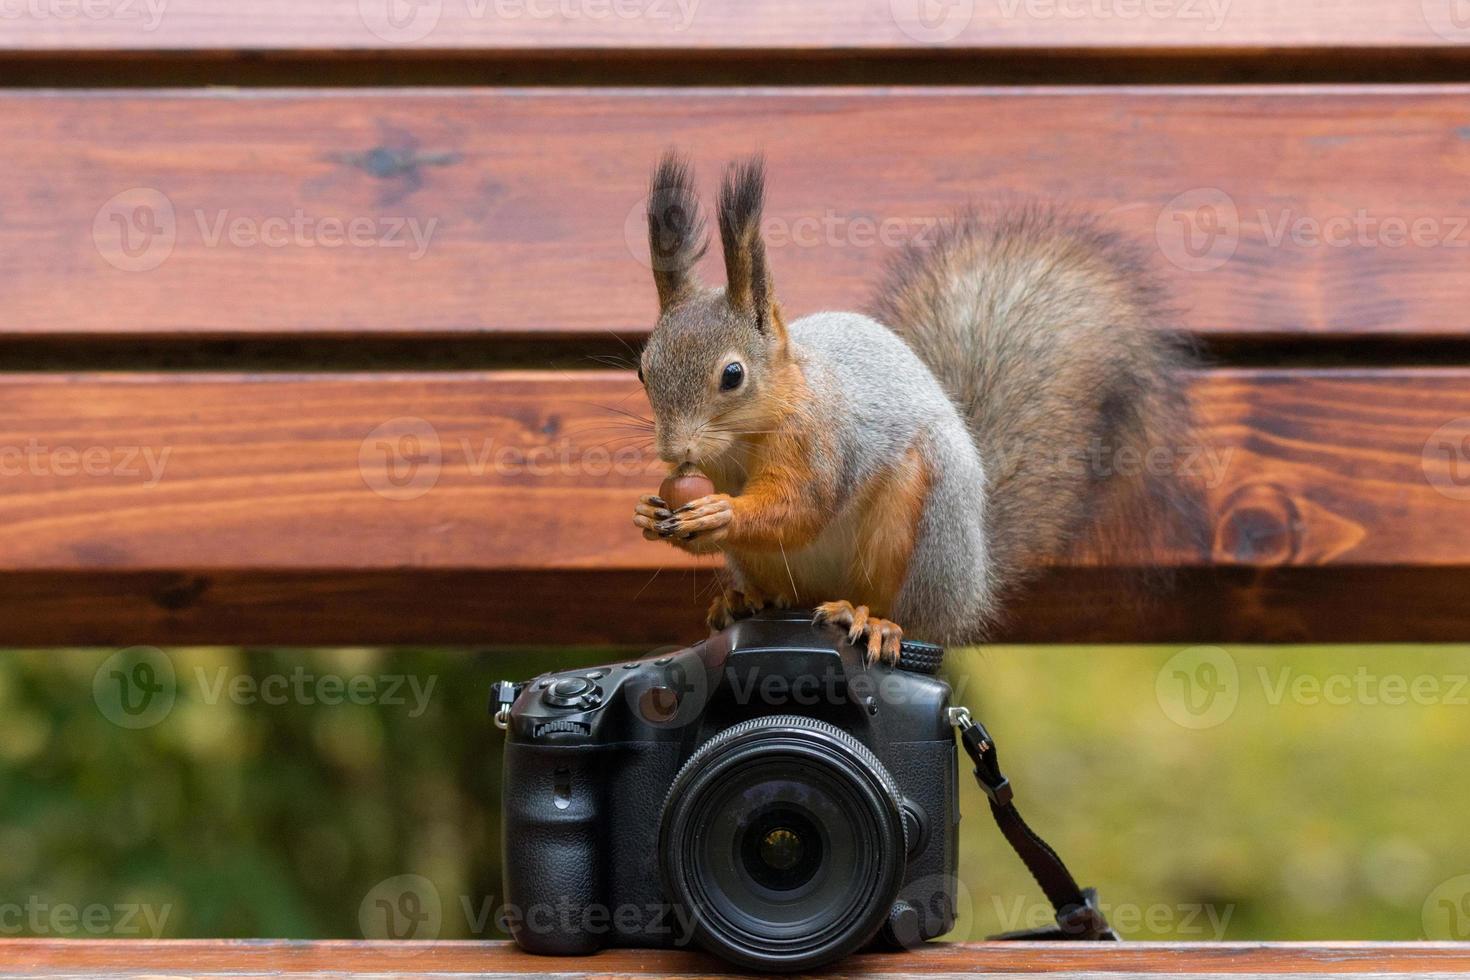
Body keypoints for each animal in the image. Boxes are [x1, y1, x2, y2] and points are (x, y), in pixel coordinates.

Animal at [629, 153, 1193, 667]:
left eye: (732, 375)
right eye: (642, 370)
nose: (673, 450)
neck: (745, 438)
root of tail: (974, 584)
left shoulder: (821, 440)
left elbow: (803, 506)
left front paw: (722, 511)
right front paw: (651, 514)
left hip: (921, 525)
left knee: (909, 613)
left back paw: (870, 618)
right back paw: (744, 599)